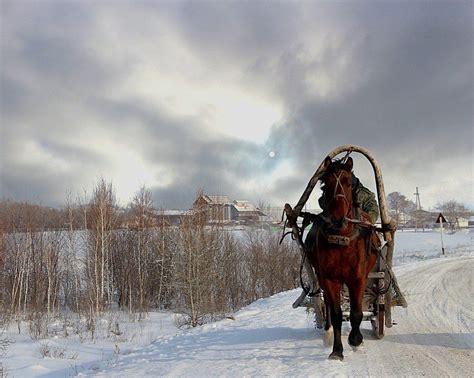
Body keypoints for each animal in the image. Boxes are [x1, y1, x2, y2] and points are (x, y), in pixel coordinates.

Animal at [308, 157, 382, 360]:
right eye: (325, 185)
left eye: (348, 183)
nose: (337, 218)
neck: (342, 237)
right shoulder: (329, 278)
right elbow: (336, 314)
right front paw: (337, 350)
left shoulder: (357, 278)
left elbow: (356, 312)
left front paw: (356, 341)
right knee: (327, 303)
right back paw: (328, 333)